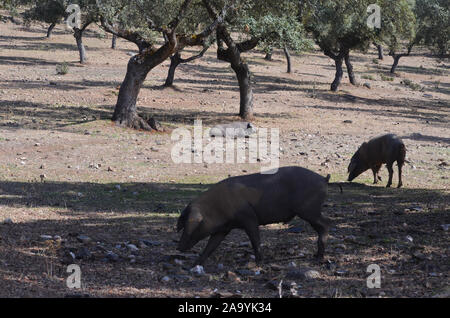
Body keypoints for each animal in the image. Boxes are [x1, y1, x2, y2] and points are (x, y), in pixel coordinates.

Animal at [176, 166, 330, 266]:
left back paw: (318, 257)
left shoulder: (249, 218)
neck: (215, 208)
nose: (178, 248)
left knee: (326, 223)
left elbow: (255, 239)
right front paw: (195, 264)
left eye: (191, 226)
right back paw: (317, 256)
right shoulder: (223, 229)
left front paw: (258, 262)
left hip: (309, 210)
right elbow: (211, 245)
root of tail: (324, 179)